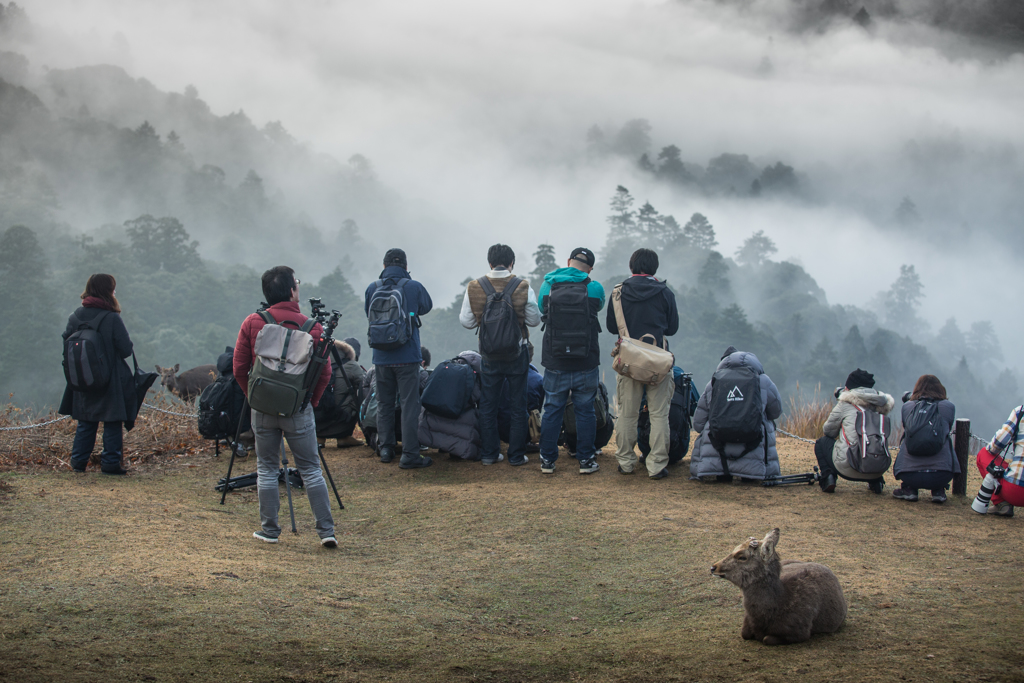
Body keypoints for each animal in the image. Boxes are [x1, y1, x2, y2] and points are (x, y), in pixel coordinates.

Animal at [712, 528, 847, 647]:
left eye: (742, 557)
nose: (713, 567)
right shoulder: (746, 626)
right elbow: (744, 634)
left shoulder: (800, 632)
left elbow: (766, 639)